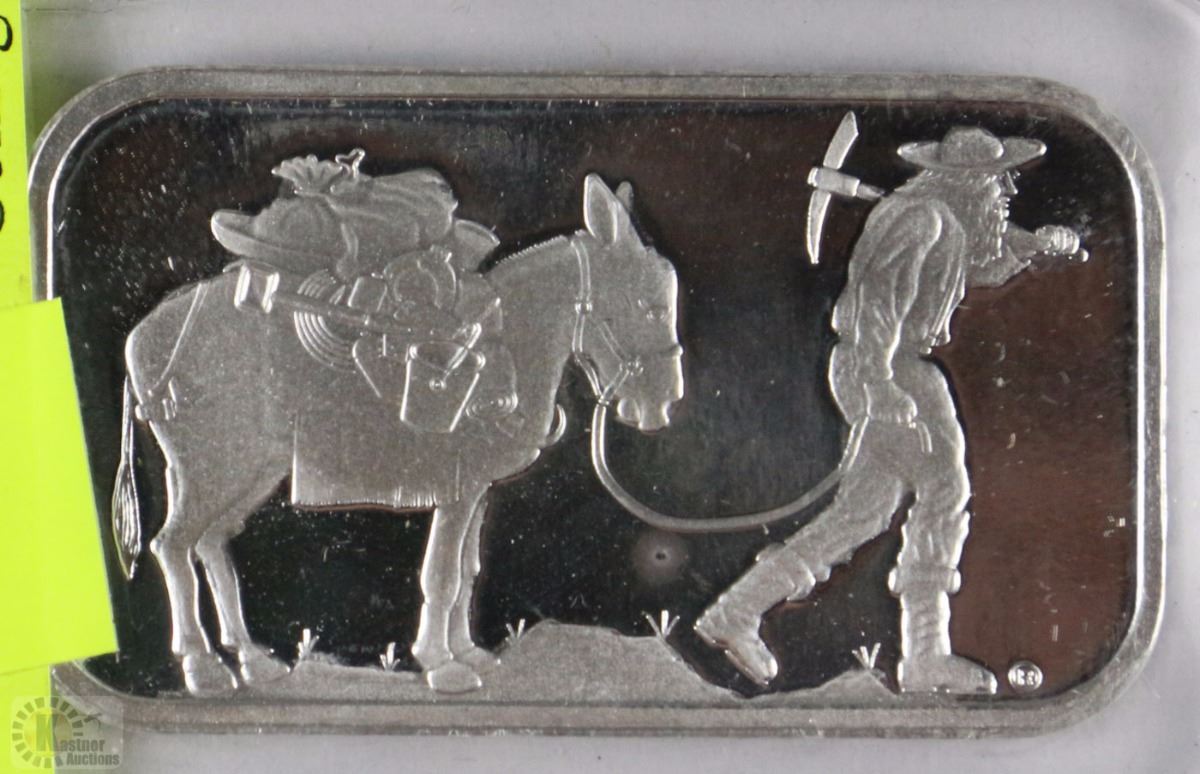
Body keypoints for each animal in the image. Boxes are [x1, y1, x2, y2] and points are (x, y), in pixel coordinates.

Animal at [112, 174, 684, 695]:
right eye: (650, 307)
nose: (663, 404)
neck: (509, 342)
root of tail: (139, 337)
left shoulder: (475, 492)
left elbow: (467, 571)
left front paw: (468, 654)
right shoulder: (456, 493)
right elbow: (442, 575)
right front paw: (441, 665)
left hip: (250, 470)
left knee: (211, 542)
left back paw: (252, 661)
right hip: (212, 469)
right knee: (172, 546)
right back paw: (202, 667)